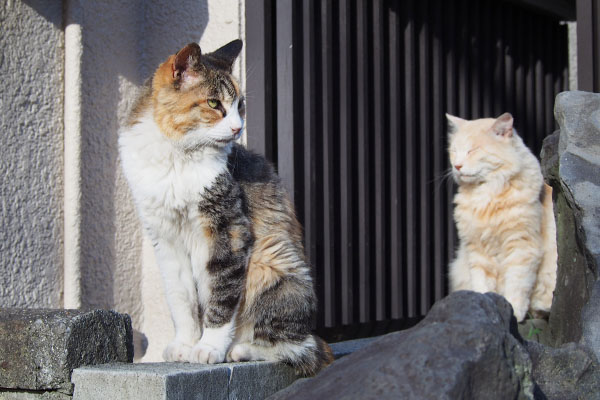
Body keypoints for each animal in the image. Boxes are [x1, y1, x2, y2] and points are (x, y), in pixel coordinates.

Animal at [117, 39, 332, 376]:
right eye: (214, 103)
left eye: (239, 105)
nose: (237, 128)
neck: (177, 157)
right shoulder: (164, 239)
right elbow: (180, 299)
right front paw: (185, 344)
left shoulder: (227, 230)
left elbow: (221, 293)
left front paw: (209, 348)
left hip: (269, 265)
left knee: (300, 349)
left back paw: (238, 349)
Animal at [446, 112, 556, 322]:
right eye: (454, 151)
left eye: (472, 150)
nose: (457, 166)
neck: (486, 193)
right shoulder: (477, 250)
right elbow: (482, 284)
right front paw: (485, 305)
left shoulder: (522, 246)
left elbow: (516, 284)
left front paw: (514, 312)